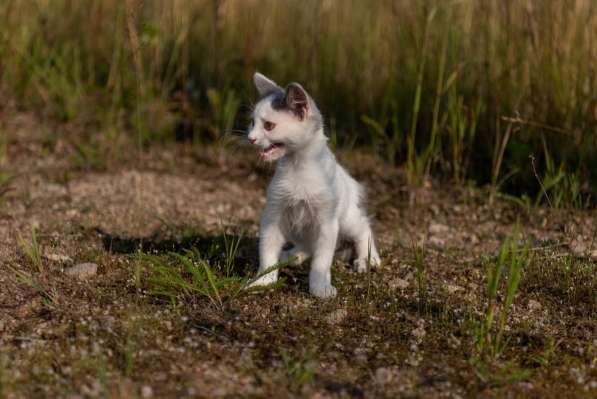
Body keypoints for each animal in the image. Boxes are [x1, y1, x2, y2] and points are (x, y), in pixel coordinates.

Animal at [248, 72, 382, 298]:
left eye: (268, 126)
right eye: (252, 123)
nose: (250, 138)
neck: (297, 169)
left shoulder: (327, 223)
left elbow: (321, 261)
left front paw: (320, 288)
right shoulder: (273, 215)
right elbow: (267, 253)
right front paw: (263, 281)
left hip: (346, 219)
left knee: (364, 227)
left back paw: (368, 259)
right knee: (307, 244)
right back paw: (293, 255)